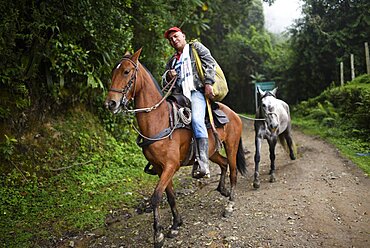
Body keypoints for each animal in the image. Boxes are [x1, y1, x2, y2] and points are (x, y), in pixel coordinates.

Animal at [105, 49, 246, 248]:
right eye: (112, 73)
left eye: (126, 72)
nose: (110, 103)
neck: (159, 119)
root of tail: (234, 114)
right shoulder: (160, 168)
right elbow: (170, 195)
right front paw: (175, 224)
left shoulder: (170, 166)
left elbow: (156, 197)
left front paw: (158, 235)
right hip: (212, 152)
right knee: (223, 163)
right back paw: (222, 189)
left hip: (232, 146)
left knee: (233, 171)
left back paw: (230, 204)